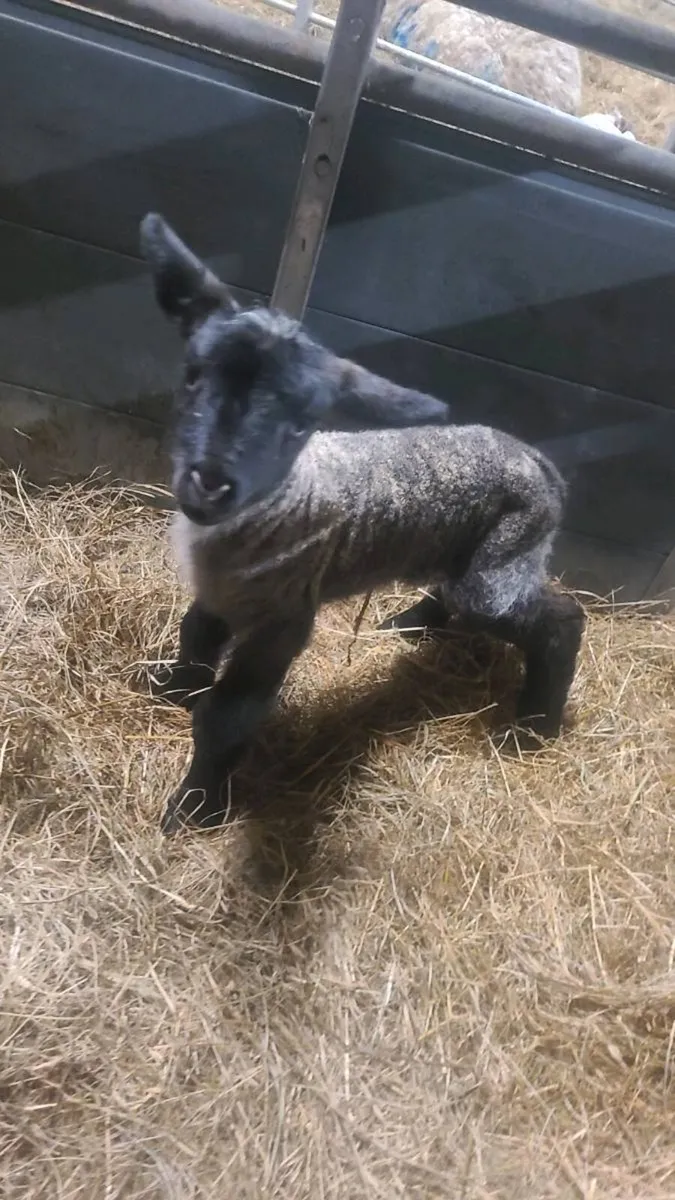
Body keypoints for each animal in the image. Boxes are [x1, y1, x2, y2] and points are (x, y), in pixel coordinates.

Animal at [140, 213, 585, 835]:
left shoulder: (282, 619)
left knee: (558, 619)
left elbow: (229, 716)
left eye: (303, 422)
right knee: (453, 588)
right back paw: (408, 624)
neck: (284, 503)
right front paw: (171, 688)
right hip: (464, 546)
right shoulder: (220, 592)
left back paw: (534, 727)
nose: (211, 482)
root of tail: (542, 463)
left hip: (504, 560)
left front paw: (196, 808)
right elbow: (196, 636)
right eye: (192, 376)